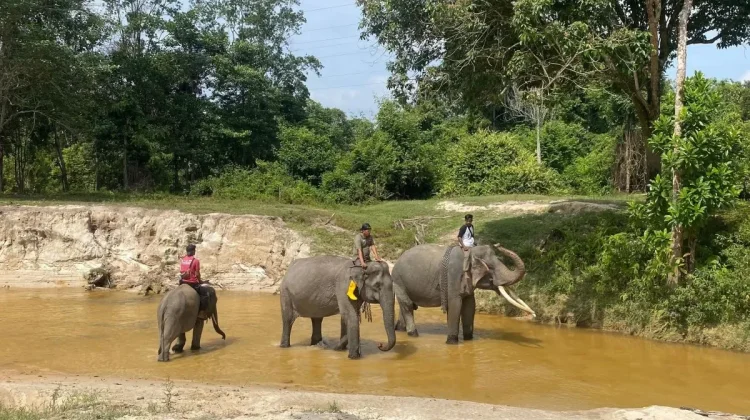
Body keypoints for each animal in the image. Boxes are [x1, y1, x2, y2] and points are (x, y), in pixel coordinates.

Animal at [391, 244, 535, 344]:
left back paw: (400, 329)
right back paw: (413, 334)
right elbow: (455, 305)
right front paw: (452, 342)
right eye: (490, 268)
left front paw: (468, 340)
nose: (498, 245)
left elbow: (470, 305)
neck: (469, 252)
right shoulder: (453, 276)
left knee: (407, 306)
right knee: (407, 305)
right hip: (399, 281)